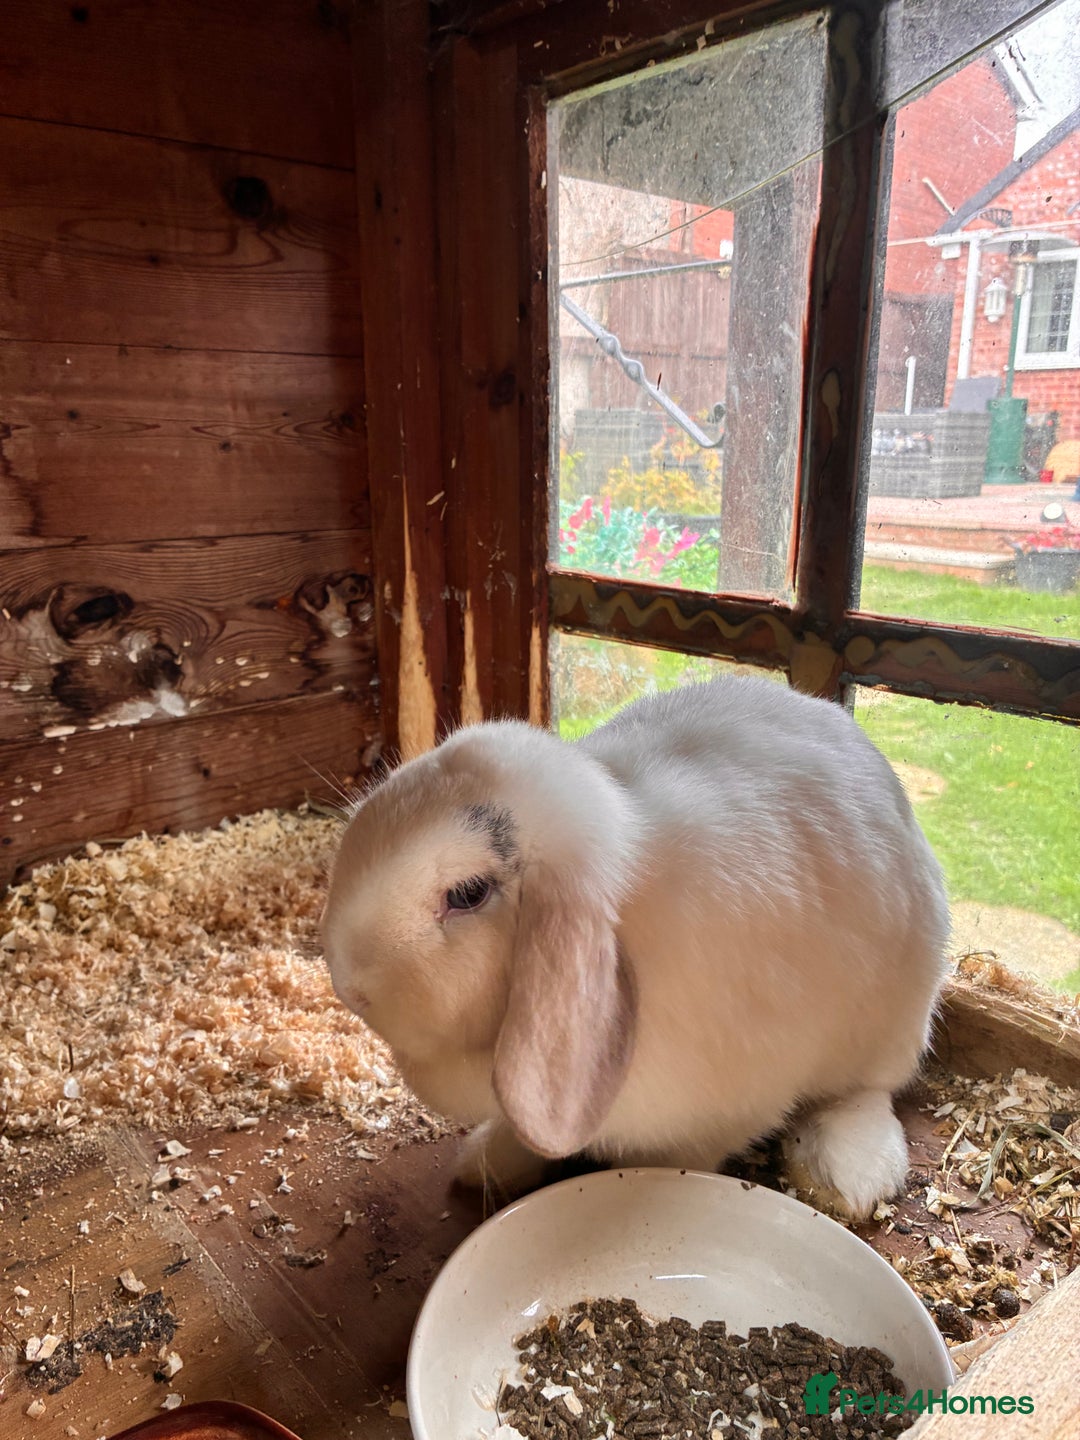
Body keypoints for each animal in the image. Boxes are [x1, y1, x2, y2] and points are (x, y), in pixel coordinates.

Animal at [321, 675, 950, 1219]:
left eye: (468, 894)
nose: (347, 982)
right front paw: (486, 1164)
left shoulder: (731, 1109)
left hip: (890, 1025)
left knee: (866, 1091)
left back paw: (847, 1175)